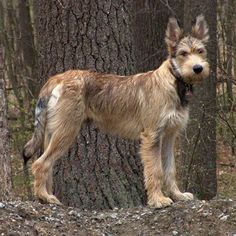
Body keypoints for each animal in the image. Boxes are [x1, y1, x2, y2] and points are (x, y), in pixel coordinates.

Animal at [23, 14, 209, 207]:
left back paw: (46, 196)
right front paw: (158, 199)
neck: (174, 83)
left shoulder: (168, 137)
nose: (198, 68)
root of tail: (56, 78)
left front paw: (177, 195)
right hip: (65, 132)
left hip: (53, 134)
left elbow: (170, 170)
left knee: (47, 165)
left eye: (200, 51)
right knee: (39, 164)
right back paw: (44, 197)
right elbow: (155, 171)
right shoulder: (152, 136)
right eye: (183, 53)